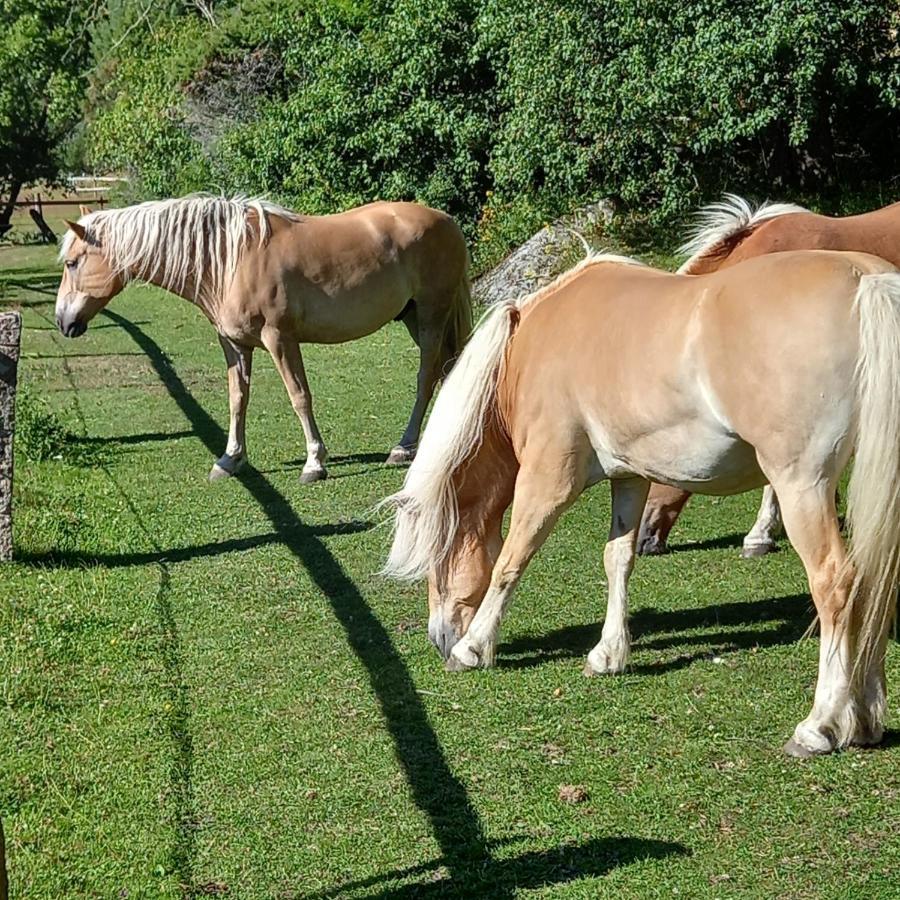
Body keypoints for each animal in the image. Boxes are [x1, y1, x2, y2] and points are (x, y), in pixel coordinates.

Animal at [54, 194, 472, 482]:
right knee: (447, 369)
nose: (62, 322)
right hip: (414, 318)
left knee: (426, 376)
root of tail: (446, 220)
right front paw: (229, 460)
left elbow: (299, 396)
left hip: (432, 315)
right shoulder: (234, 344)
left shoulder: (280, 339)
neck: (230, 261)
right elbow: (237, 400)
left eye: (72, 263)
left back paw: (403, 448)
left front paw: (314, 463)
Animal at [384, 250, 900, 756]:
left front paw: (472, 648)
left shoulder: (547, 482)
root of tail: (865, 279)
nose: (438, 638)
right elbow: (617, 559)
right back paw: (866, 719)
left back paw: (820, 726)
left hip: (801, 486)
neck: (529, 352)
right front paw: (608, 655)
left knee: (836, 584)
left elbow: (511, 562)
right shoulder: (630, 478)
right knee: (876, 583)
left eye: (436, 559)